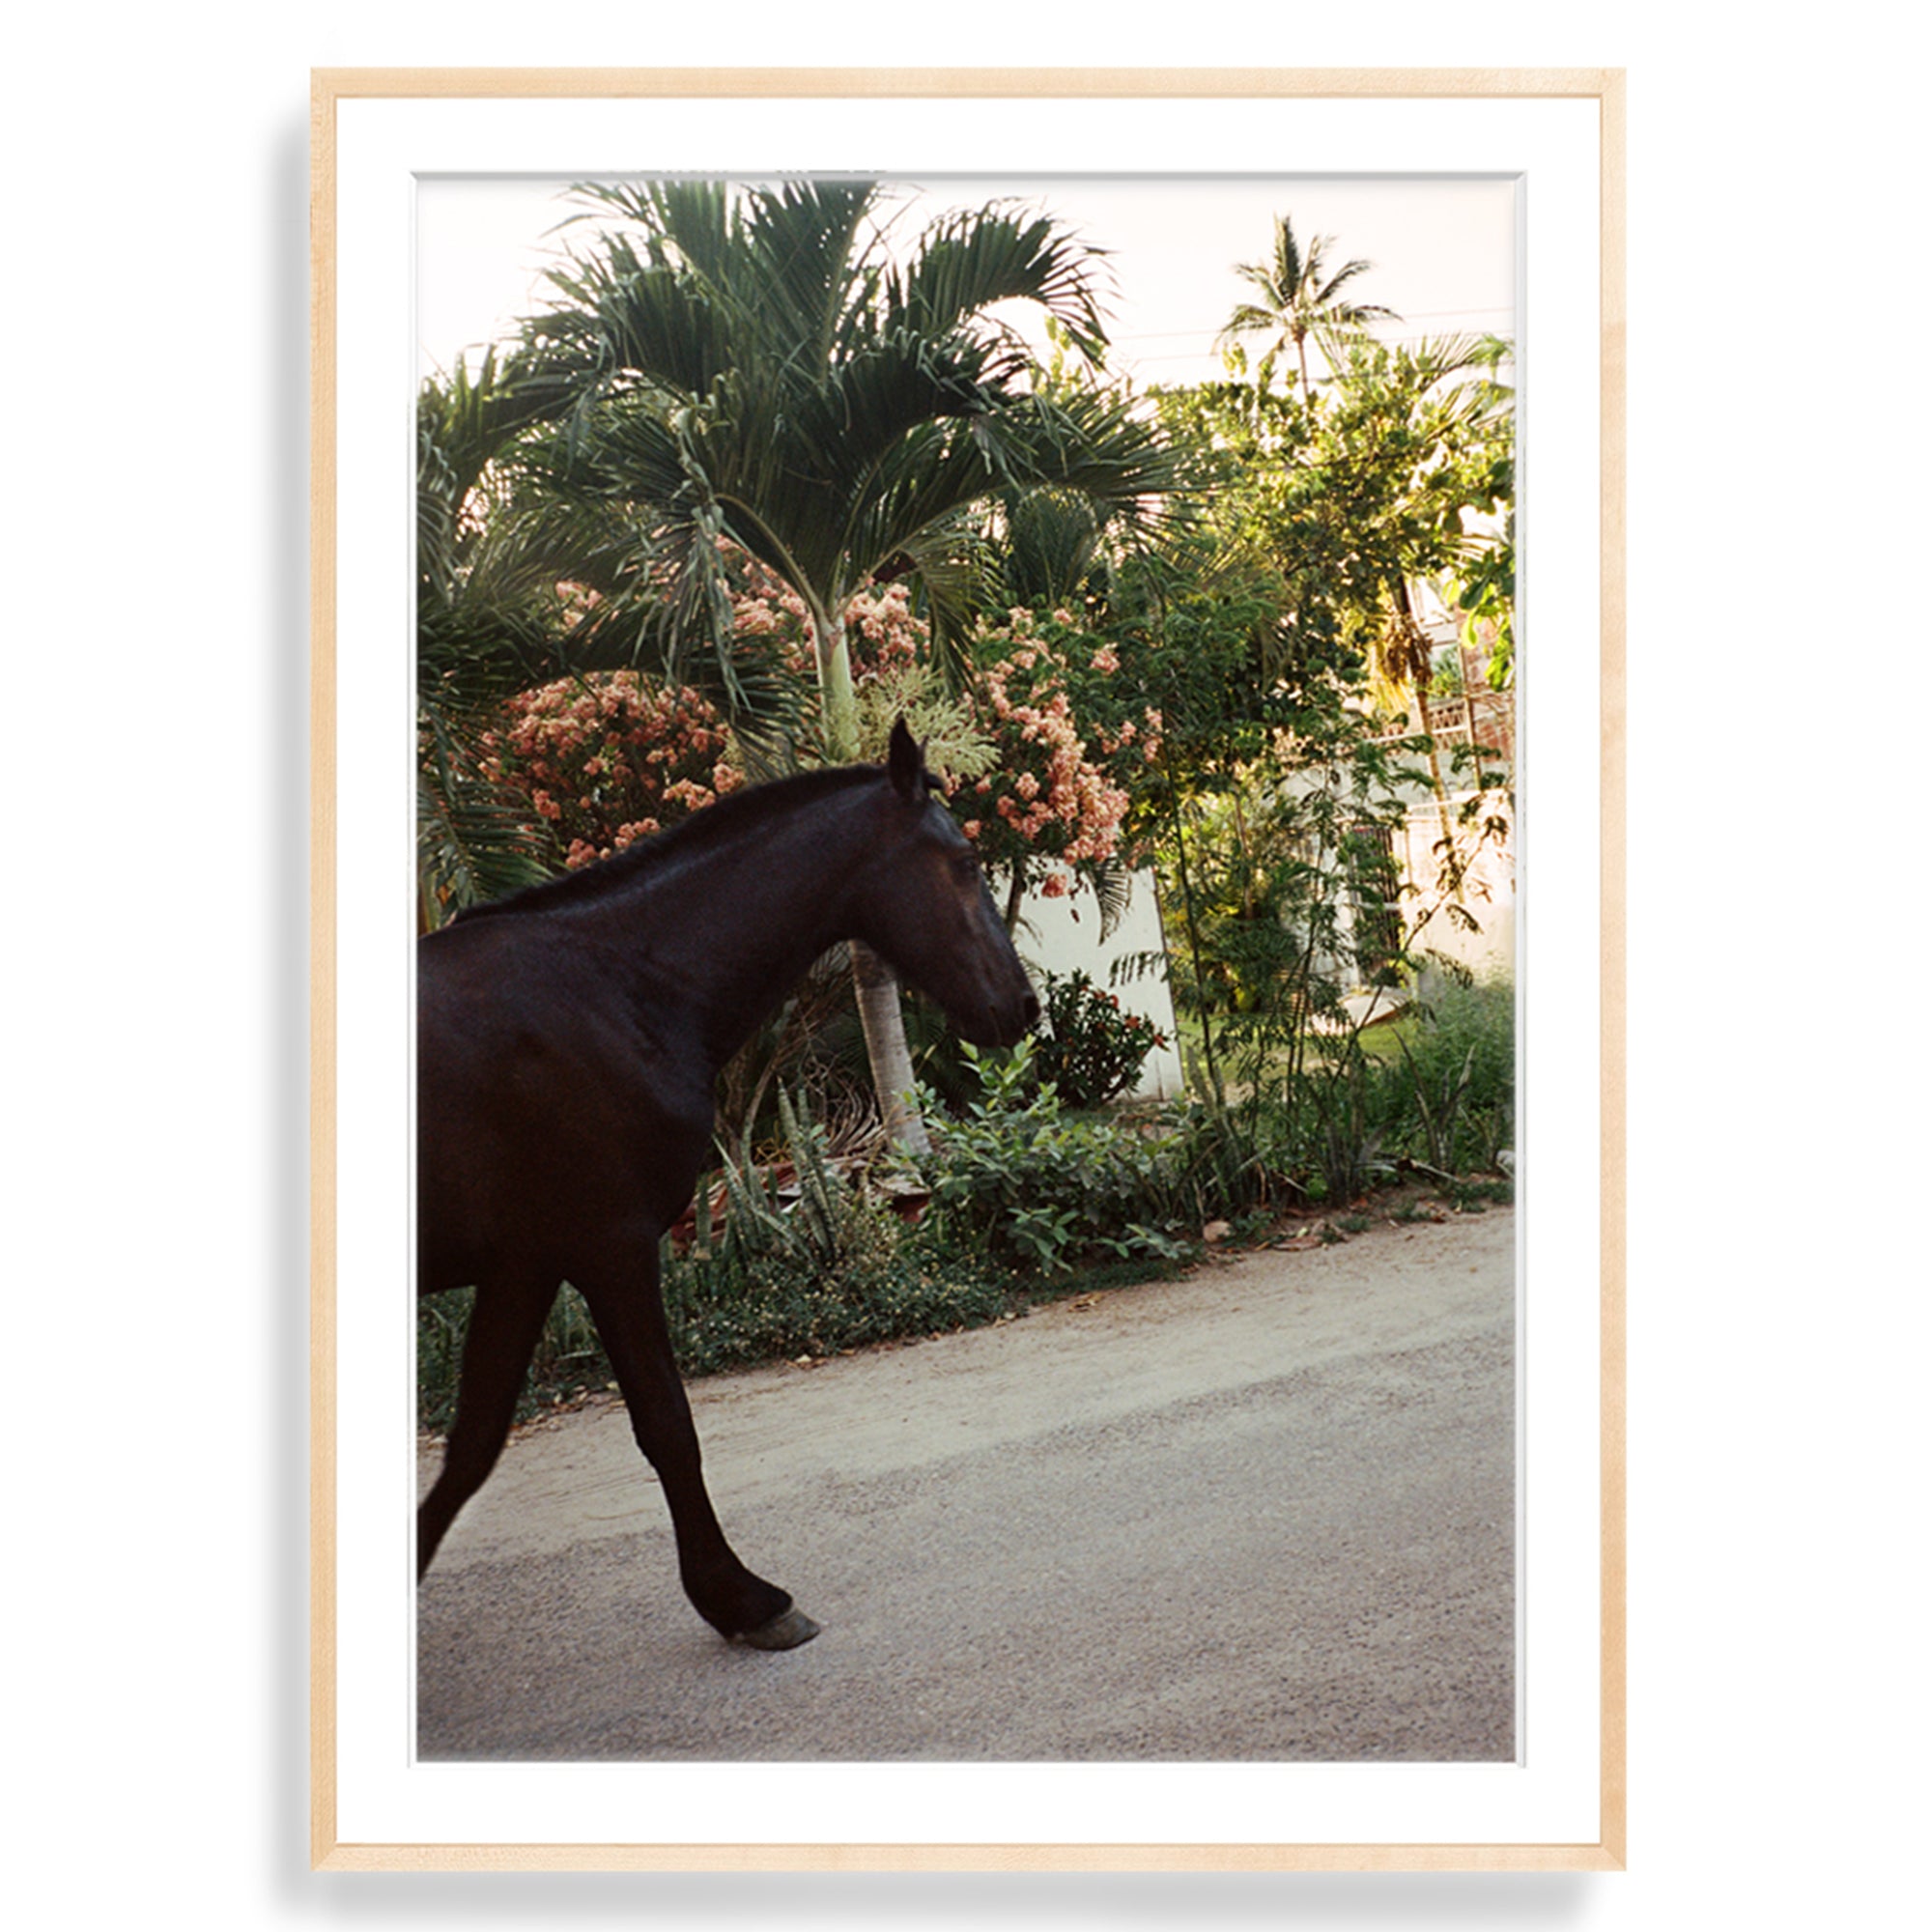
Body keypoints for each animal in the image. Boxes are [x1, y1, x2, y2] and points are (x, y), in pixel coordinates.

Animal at [416, 720, 1038, 1649]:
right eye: (963, 862)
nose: (1024, 1008)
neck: (618, 986)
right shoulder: (609, 1246)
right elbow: (667, 1427)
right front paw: (740, 1598)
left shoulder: (524, 1263)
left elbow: (473, 1447)